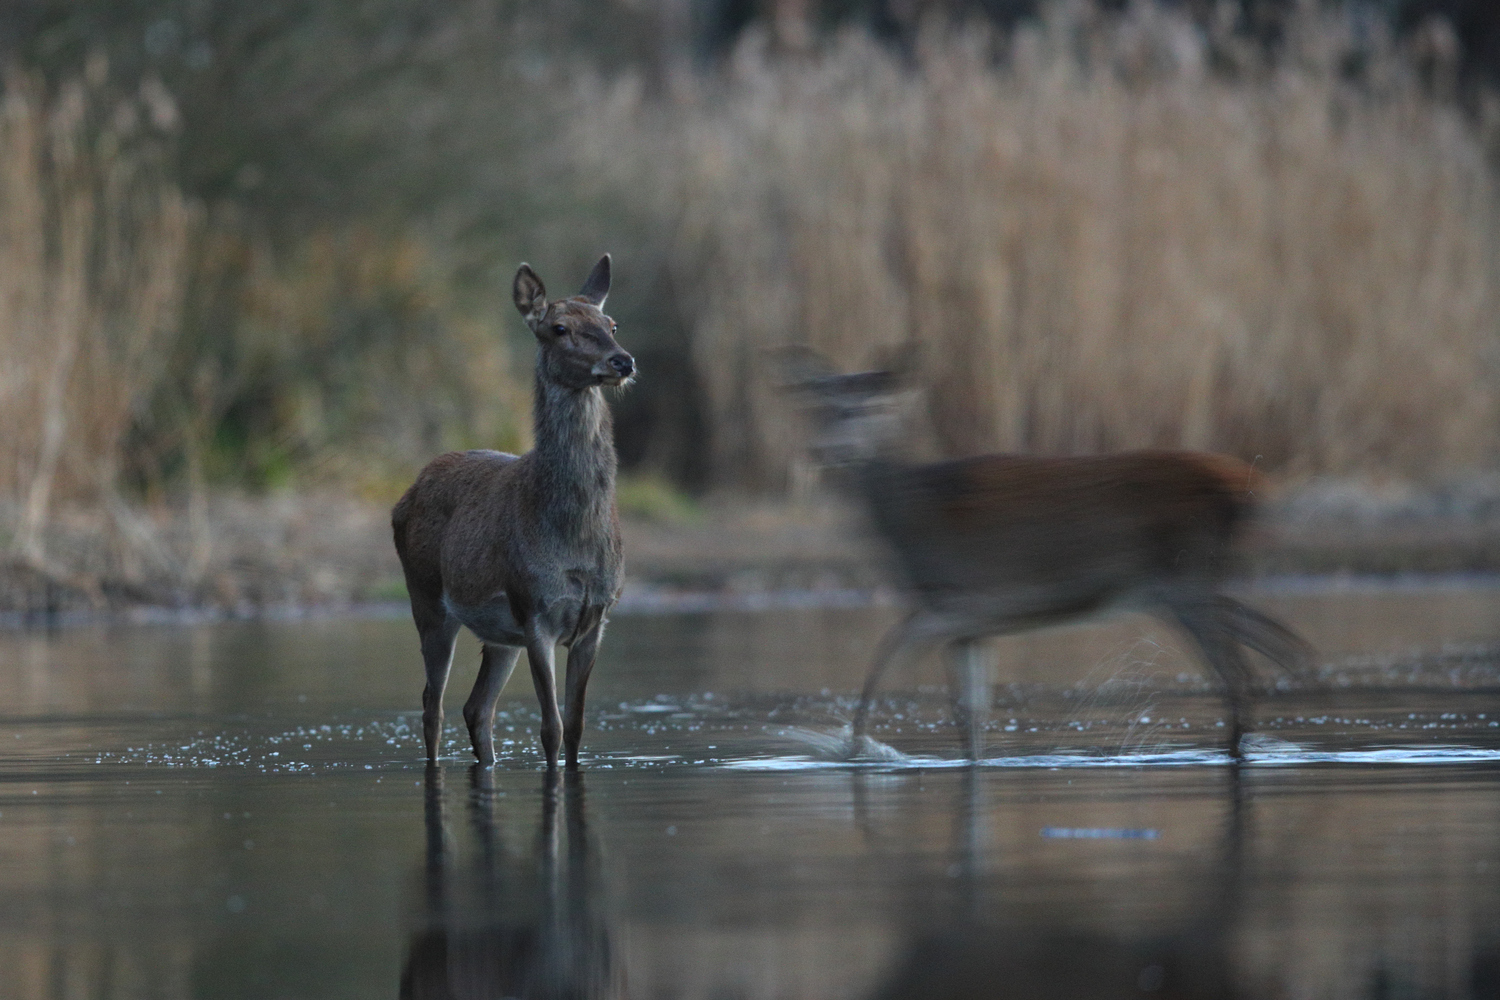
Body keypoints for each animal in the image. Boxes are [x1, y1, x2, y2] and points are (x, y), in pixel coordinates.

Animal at [390, 254, 630, 773]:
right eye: (559, 328)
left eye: (611, 324)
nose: (623, 360)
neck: (574, 537)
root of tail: (406, 493)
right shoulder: (534, 607)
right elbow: (551, 728)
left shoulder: (596, 617)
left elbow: (576, 728)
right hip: (427, 597)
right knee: (432, 704)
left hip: (500, 637)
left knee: (476, 707)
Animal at [786, 347, 1314, 761]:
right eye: (821, 407)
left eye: (863, 408)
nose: (824, 451)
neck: (912, 519)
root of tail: (1245, 485)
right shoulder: (971, 624)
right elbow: (970, 714)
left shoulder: (964, 602)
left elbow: (888, 651)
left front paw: (851, 748)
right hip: (1182, 585)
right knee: (1274, 645)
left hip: (1184, 575)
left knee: (1239, 671)